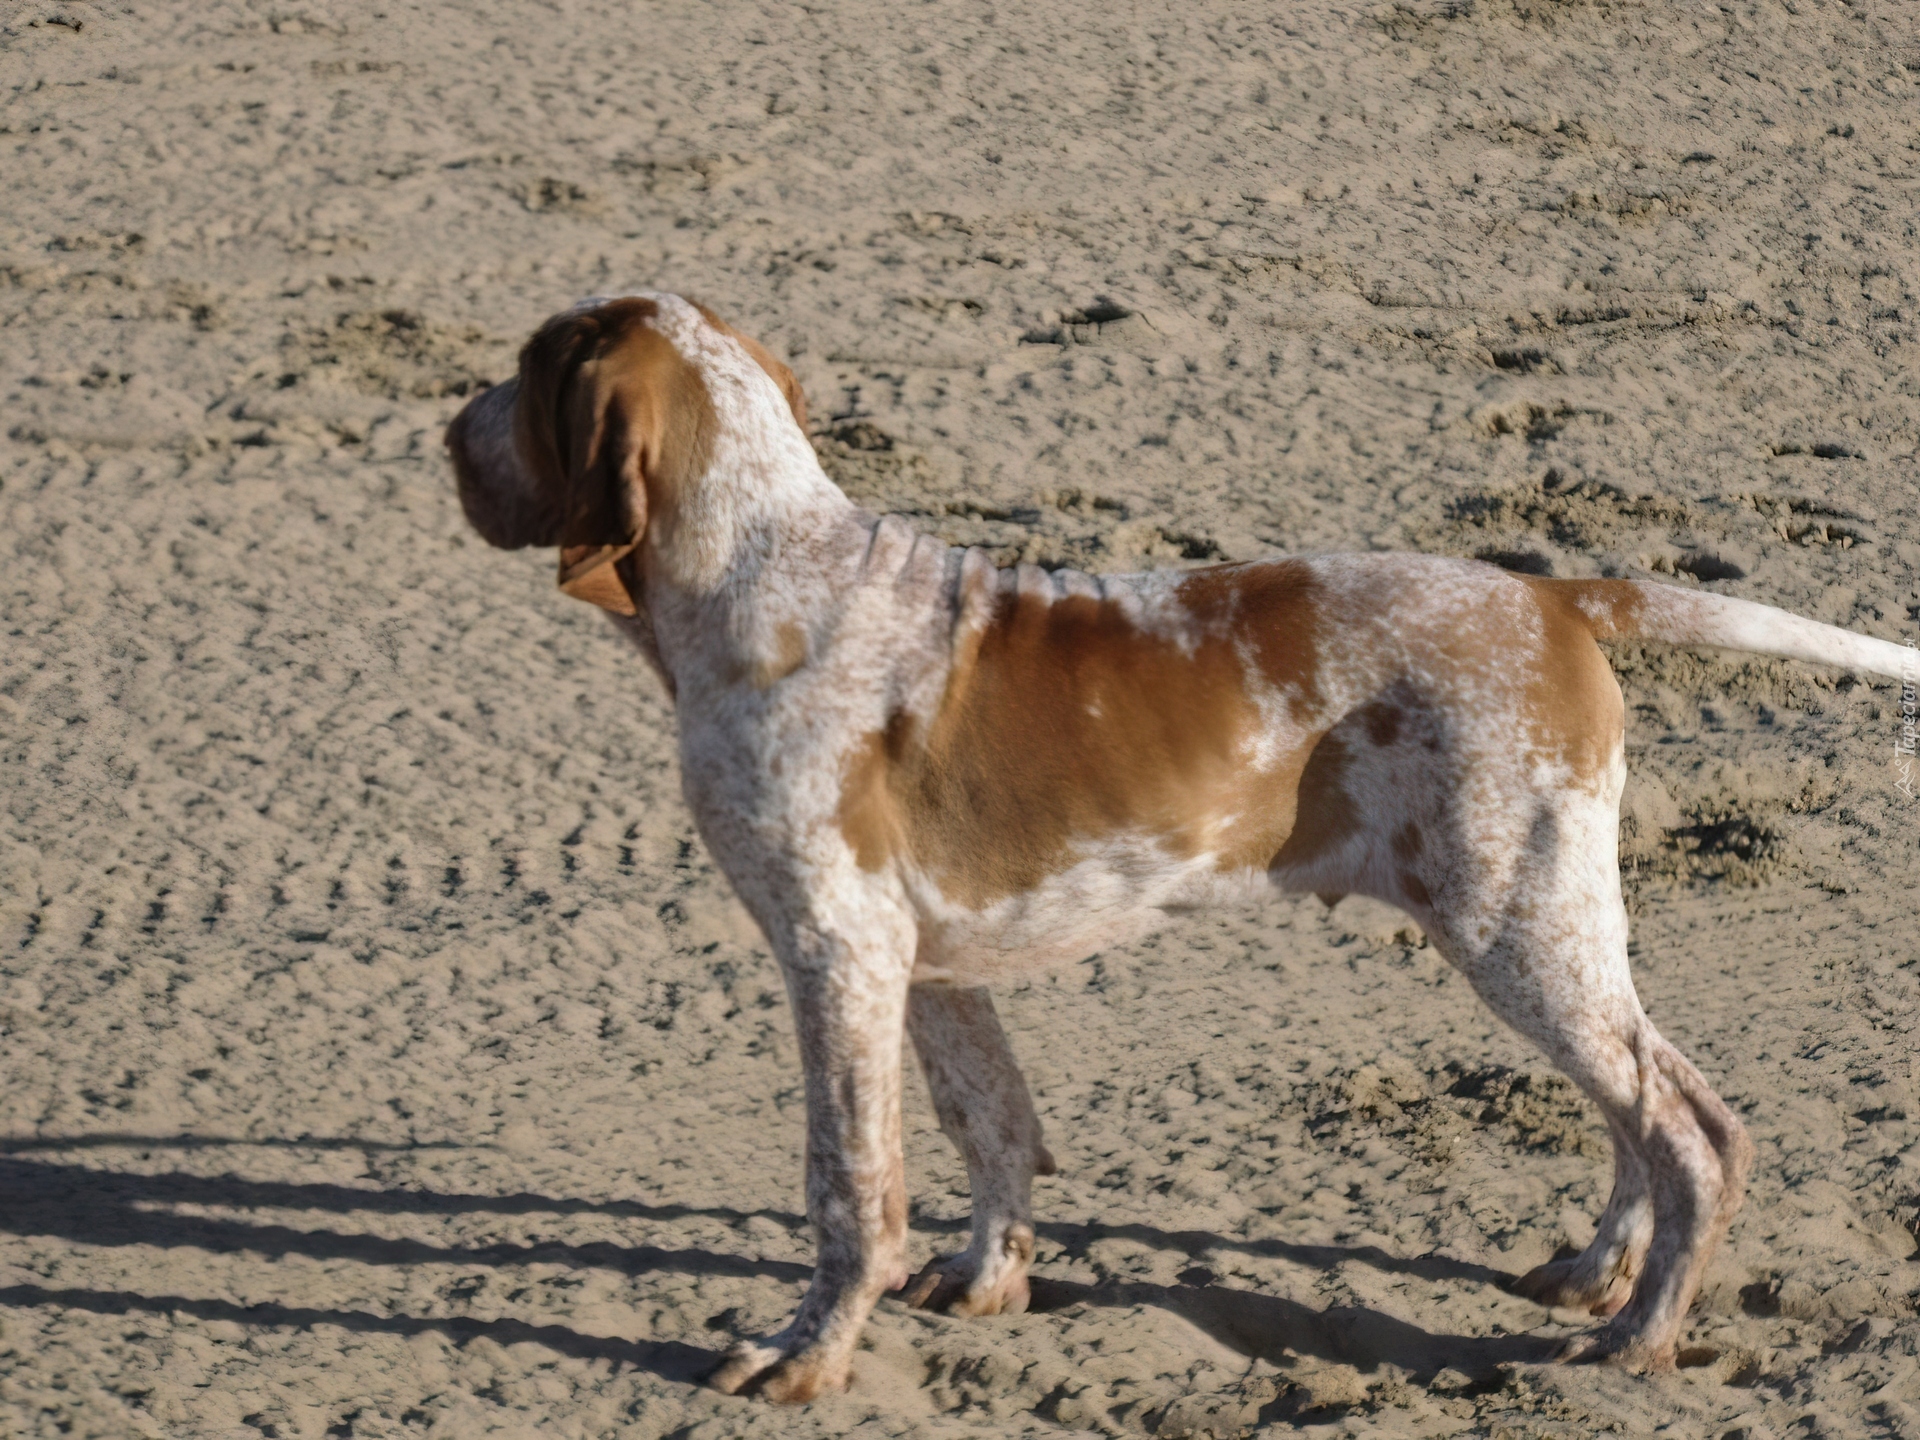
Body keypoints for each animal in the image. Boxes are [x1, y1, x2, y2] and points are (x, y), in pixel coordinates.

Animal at [445, 288, 1904, 1405]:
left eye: (525, 370)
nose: (445, 432)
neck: (766, 572)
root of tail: (1549, 593)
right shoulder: (924, 967)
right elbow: (993, 1125)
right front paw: (988, 1283)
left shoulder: (834, 954)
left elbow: (850, 1190)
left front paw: (806, 1361)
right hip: (1544, 927)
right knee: (1643, 1107)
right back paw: (1602, 1273)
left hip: (1514, 925)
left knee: (1690, 1130)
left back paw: (1641, 1336)